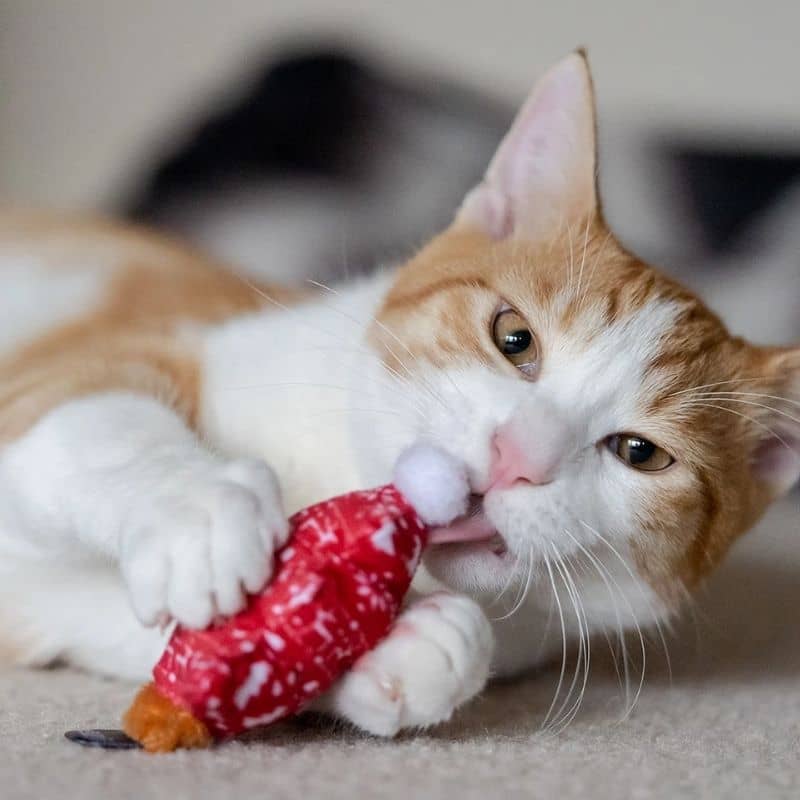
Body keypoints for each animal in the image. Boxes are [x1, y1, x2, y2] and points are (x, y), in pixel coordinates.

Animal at [1, 51, 800, 736]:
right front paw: (196, 510)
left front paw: (401, 647)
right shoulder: (97, 357)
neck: (336, 475)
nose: (515, 457)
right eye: (515, 338)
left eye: (638, 452)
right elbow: (93, 419)